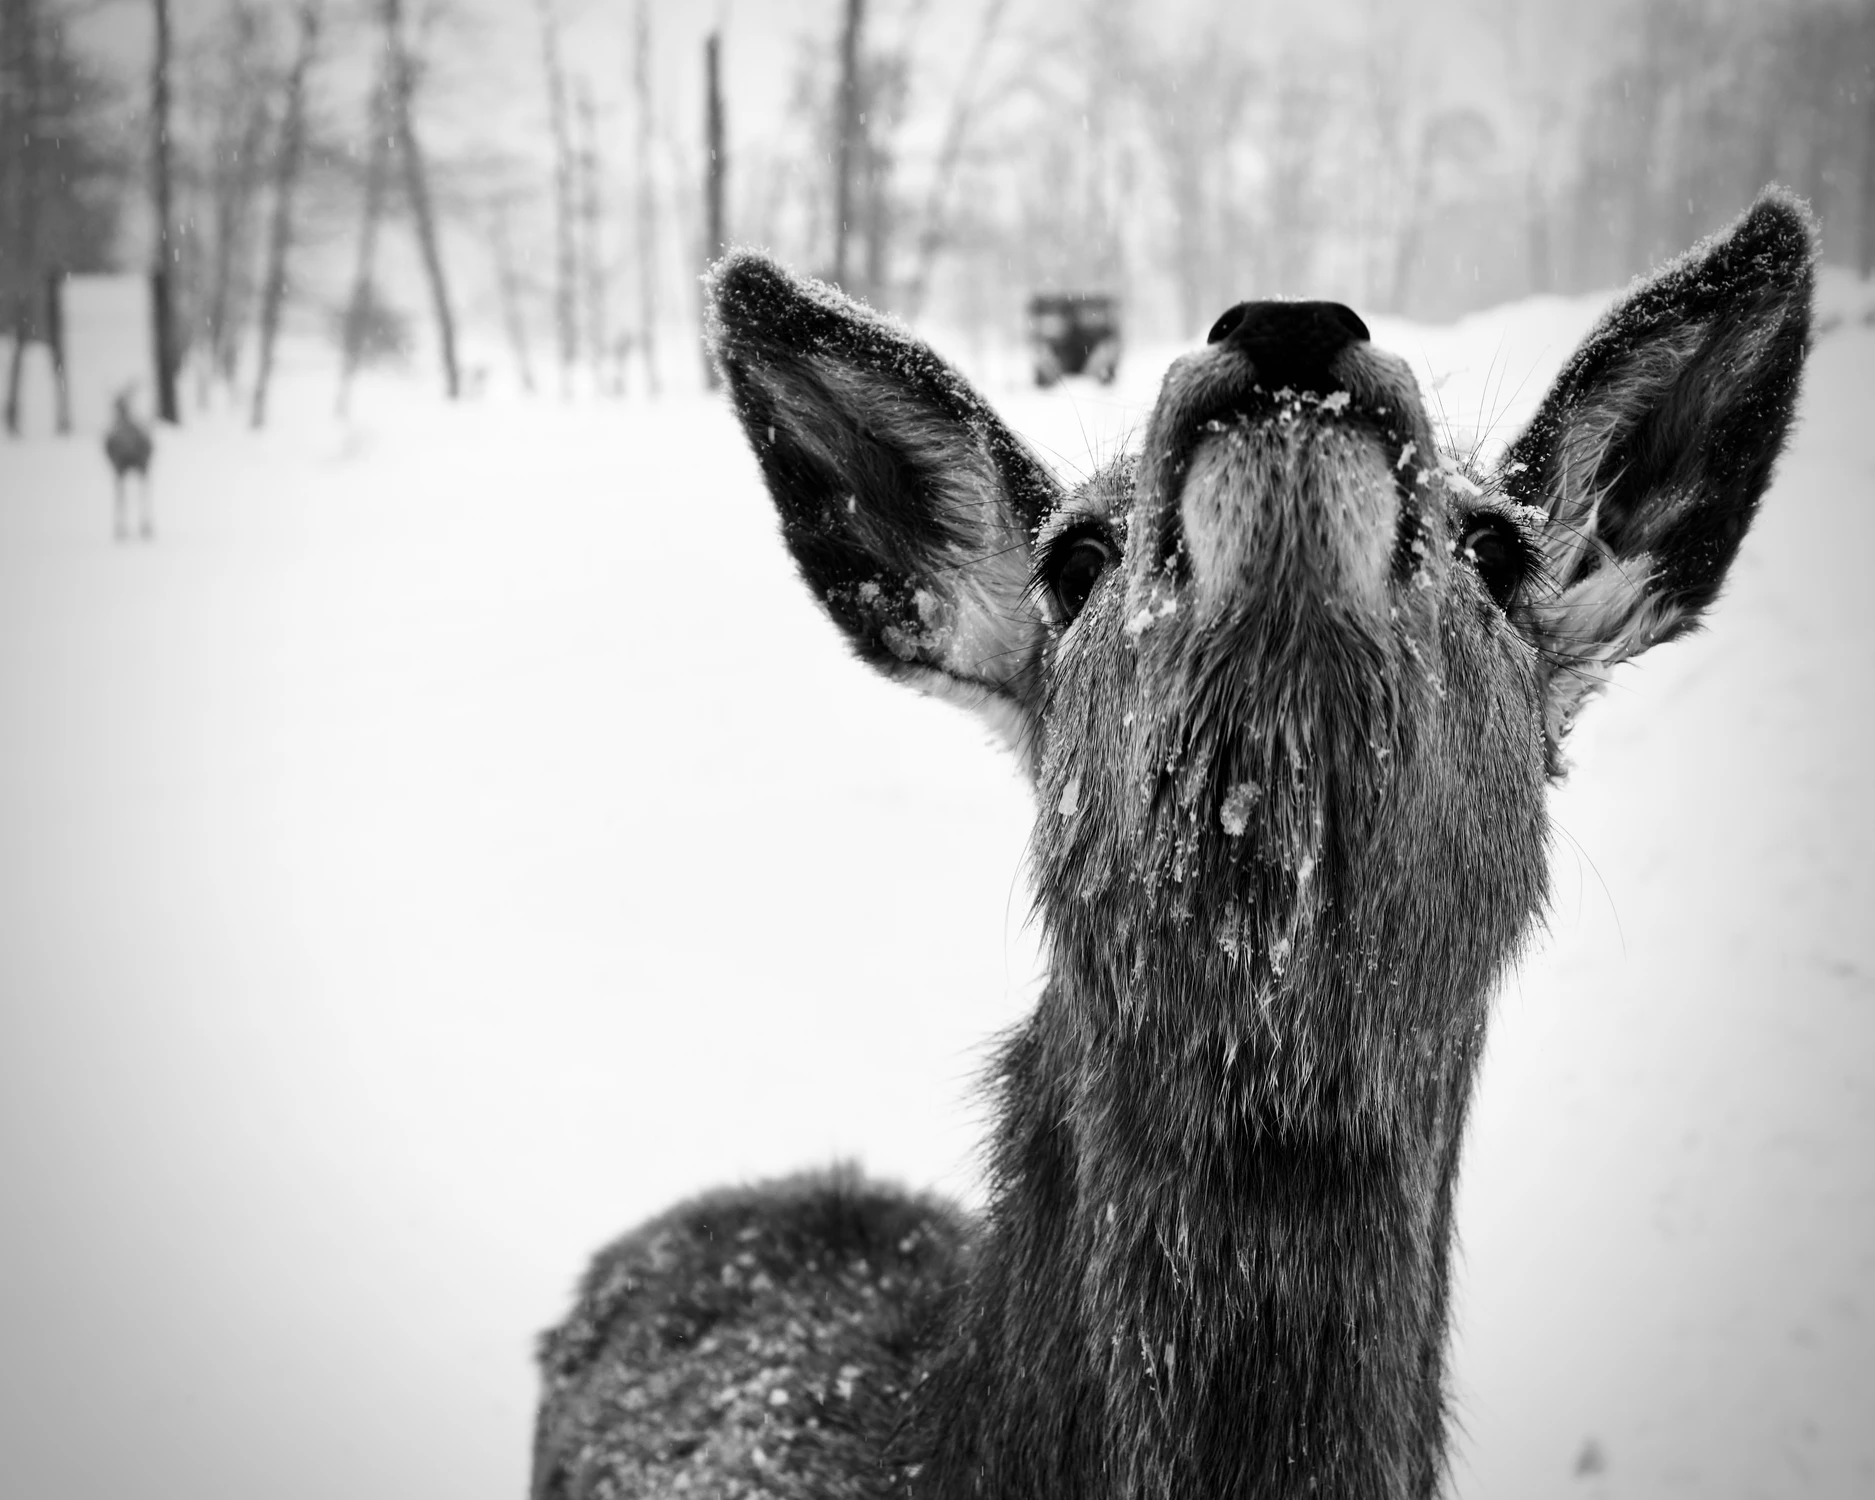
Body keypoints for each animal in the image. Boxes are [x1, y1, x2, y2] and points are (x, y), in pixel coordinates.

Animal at [104, 386, 155, 543]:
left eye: (117, 402)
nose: (112, 408)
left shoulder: (117, 465)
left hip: (128, 464)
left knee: (130, 490)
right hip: (137, 464)